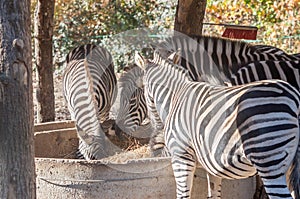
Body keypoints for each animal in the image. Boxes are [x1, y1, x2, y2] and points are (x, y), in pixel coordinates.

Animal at [135, 51, 300, 199]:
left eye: (141, 88)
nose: (155, 128)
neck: (176, 96)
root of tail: (295, 98)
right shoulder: (211, 166)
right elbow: (213, 194)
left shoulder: (181, 156)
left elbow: (182, 195)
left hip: (268, 161)